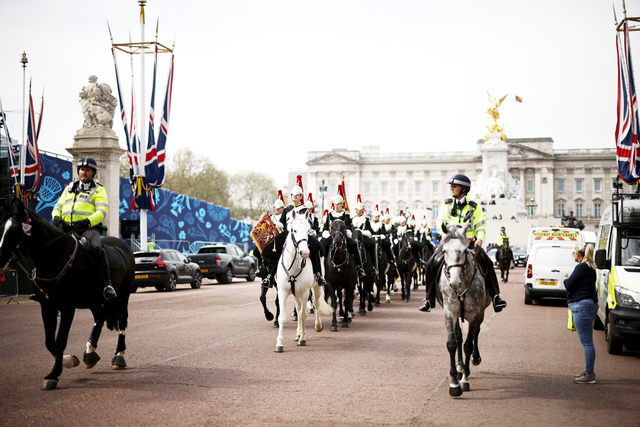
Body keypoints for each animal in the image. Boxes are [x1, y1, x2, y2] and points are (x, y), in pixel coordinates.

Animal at [0, 202, 134, 392]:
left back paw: (119, 356)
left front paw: (53, 374)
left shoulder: (67, 307)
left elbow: (60, 340)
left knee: (122, 321)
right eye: (2, 227)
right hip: (92, 299)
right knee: (100, 316)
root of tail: (123, 244)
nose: (0, 260)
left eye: (16, 230)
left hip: (123, 294)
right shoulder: (47, 306)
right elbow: (50, 341)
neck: (55, 258)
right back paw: (90, 352)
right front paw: (68, 360)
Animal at [276, 211, 336, 354]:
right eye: (294, 230)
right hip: (295, 294)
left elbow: (303, 315)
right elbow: (283, 317)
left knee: (316, 304)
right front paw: (279, 344)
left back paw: (317, 326)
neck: (293, 266)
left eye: (308, 230)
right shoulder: (283, 292)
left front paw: (303, 339)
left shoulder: (304, 293)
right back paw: (298, 333)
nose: (305, 252)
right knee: (298, 309)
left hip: (316, 287)